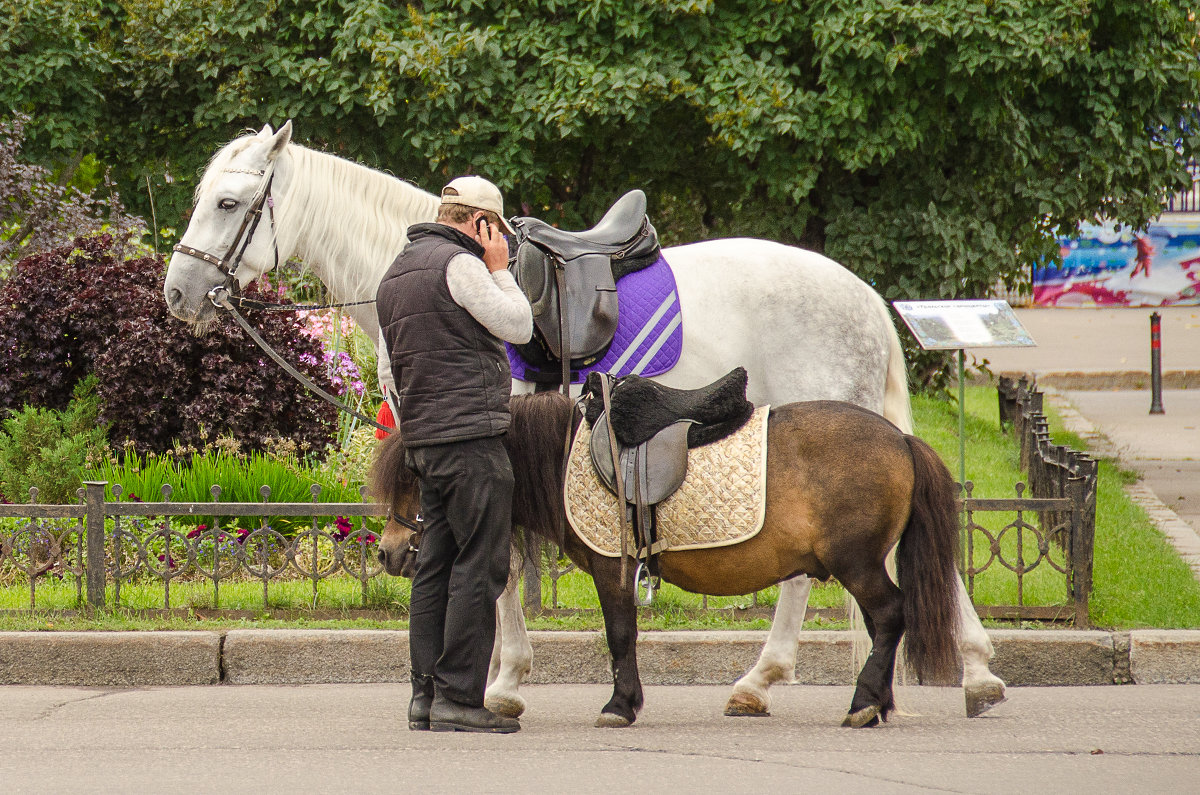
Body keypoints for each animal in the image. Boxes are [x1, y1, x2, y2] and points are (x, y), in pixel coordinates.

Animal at [369, 396, 960, 730]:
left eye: (417, 475)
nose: (389, 552)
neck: (566, 455)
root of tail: (901, 438)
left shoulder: (611, 569)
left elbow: (619, 635)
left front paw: (620, 705)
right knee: (885, 623)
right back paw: (876, 702)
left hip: (857, 563)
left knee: (891, 616)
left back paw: (864, 702)